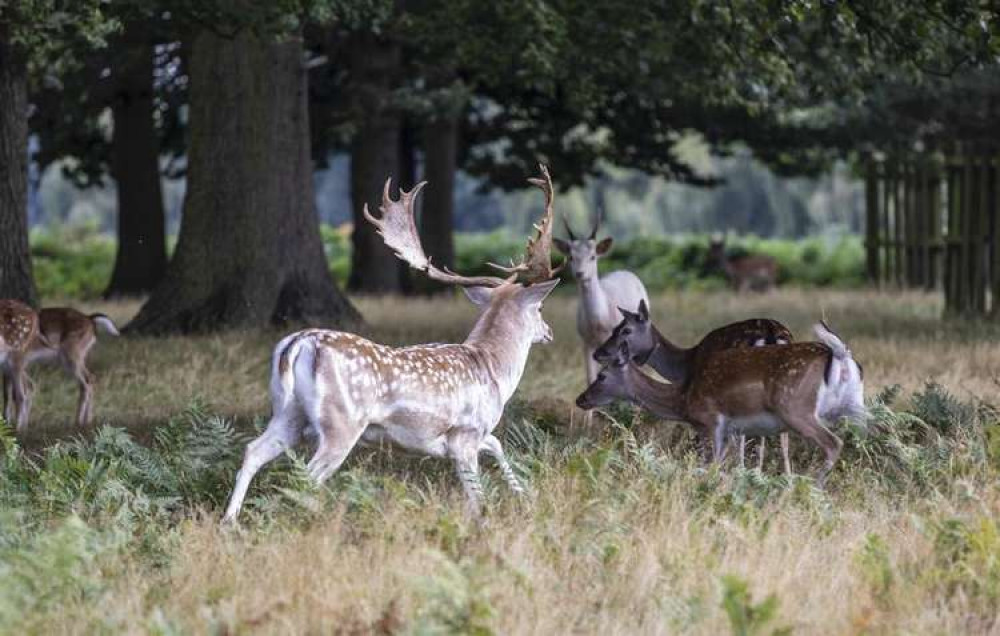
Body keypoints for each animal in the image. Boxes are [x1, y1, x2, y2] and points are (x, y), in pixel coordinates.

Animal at [224, 164, 568, 520]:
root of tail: (298, 344)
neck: (494, 368)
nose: (549, 331)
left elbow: (498, 445)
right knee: (305, 476)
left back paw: (230, 520)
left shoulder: (465, 438)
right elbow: (477, 496)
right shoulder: (465, 433)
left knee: (253, 451)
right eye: (540, 308)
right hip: (340, 422)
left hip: (287, 412)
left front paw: (524, 494)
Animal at [556, 206, 648, 420]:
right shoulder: (585, 341)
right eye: (571, 257)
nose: (580, 273)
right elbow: (590, 378)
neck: (599, 323)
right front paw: (588, 423)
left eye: (593, 256)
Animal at [580, 322, 868, 486]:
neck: (683, 398)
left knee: (833, 443)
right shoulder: (729, 430)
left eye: (602, 376)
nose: (580, 399)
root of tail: (839, 355)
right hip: (856, 406)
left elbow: (711, 466)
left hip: (796, 408)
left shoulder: (712, 422)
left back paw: (810, 487)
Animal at [592, 300, 796, 474]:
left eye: (626, 330)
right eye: (614, 328)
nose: (598, 353)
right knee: (784, 439)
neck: (687, 363)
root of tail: (770, 334)